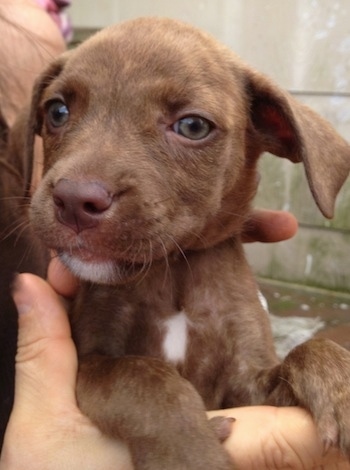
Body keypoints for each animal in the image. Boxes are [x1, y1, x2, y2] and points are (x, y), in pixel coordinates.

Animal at [28, 17, 350, 470]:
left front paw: (342, 386)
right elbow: (144, 377)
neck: (174, 272)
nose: (74, 200)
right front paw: (191, 452)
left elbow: (309, 350)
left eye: (193, 126)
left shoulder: (246, 382)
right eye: (57, 111)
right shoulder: (91, 361)